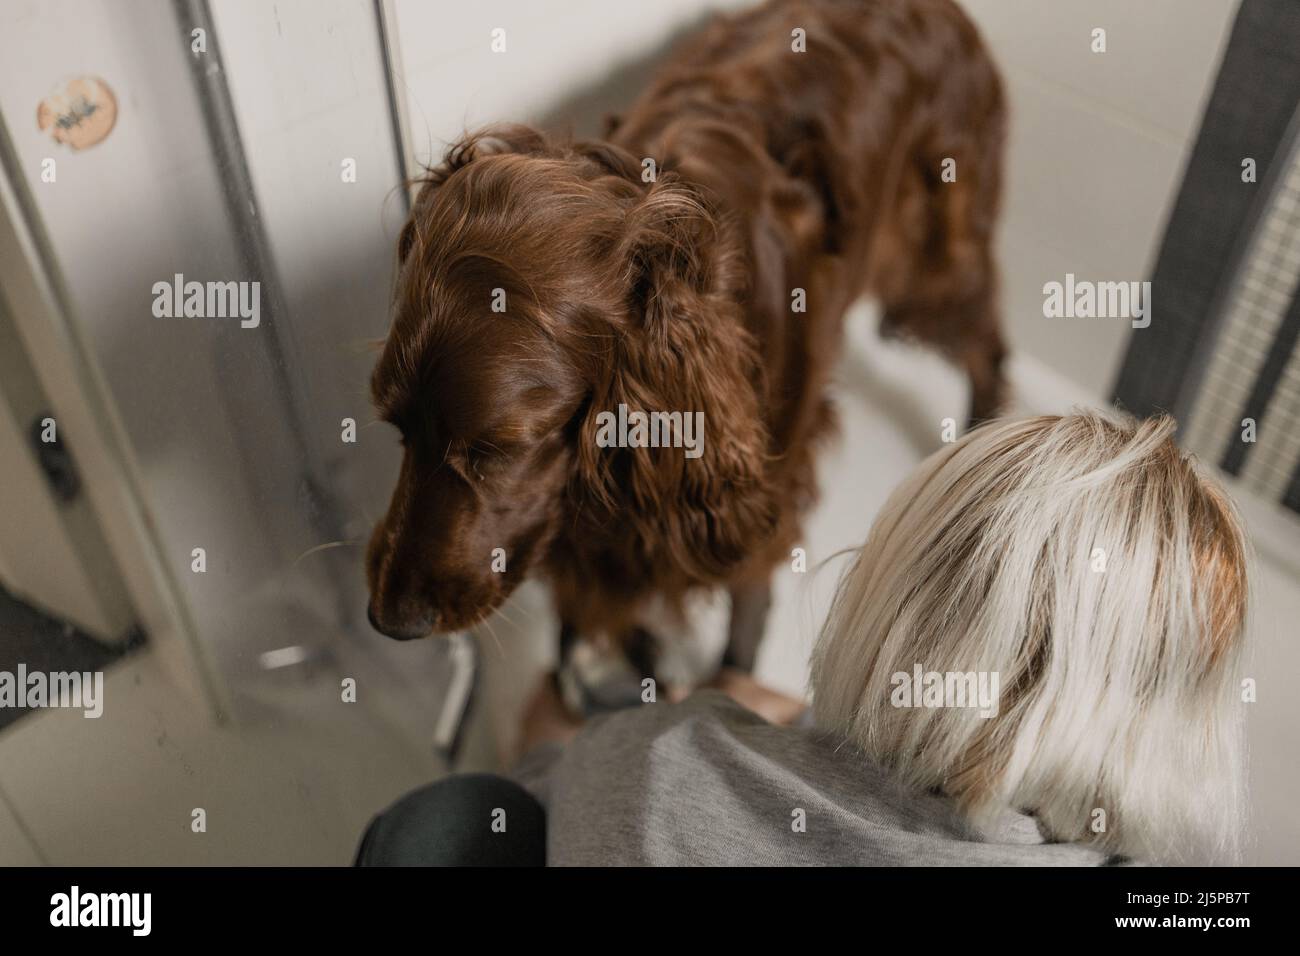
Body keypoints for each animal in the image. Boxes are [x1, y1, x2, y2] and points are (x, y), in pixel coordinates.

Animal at [364, 0, 1003, 686]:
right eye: (396, 429)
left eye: (497, 449)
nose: (388, 621)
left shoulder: (757, 501)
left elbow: (742, 626)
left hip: (930, 264)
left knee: (987, 345)